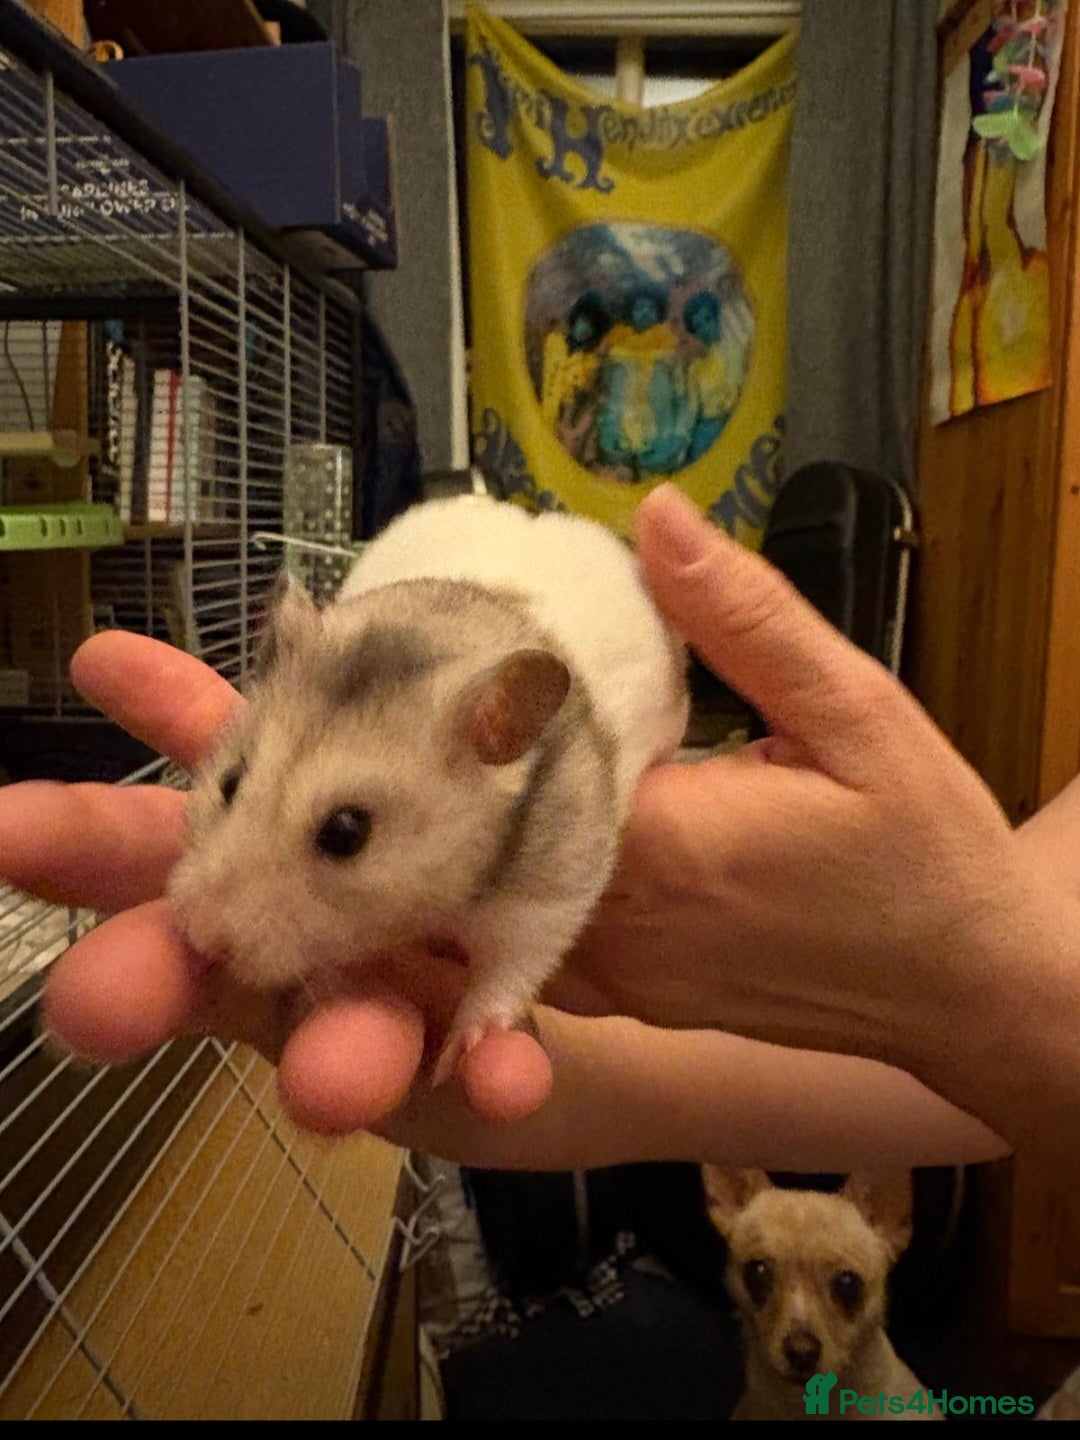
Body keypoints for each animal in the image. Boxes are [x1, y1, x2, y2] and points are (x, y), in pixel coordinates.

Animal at [168, 495, 689, 1082]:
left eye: (346, 833)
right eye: (230, 783)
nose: (197, 938)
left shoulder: (554, 893)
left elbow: (512, 968)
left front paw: (453, 1060)